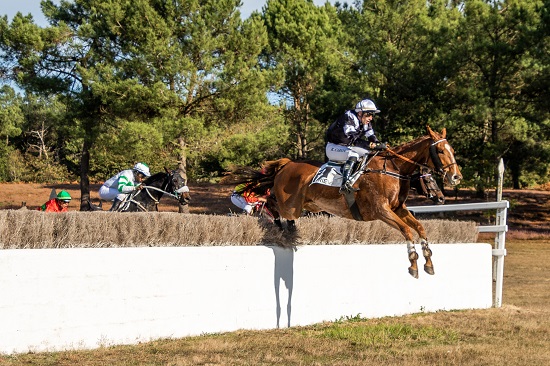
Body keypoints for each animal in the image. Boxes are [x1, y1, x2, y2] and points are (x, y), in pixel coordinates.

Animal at [226, 126, 464, 278]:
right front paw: (413, 263)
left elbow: (420, 228)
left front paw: (429, 262)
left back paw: (285, 231)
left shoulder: (398, 208)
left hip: (304, 205)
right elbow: (406, 230)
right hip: (289, 204)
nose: (455, 177)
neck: (392, 169)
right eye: (440, 150)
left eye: (452, 150)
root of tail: (287, 164)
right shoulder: (381, 211)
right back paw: (276, 226)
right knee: (270, 204)